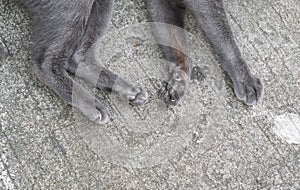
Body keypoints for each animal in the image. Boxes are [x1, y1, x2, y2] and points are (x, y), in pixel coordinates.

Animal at [4, 0, 262, 122]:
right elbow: (222, 35)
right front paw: (245, 78)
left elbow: (176, 42)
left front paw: (179, 82)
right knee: (44, 62)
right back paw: (91, 103)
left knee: (77, 58)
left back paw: (123, 88)